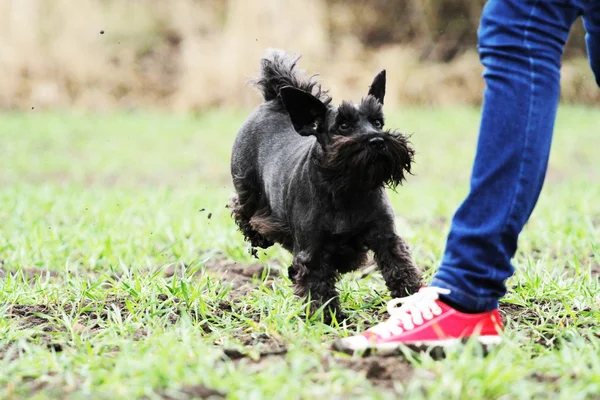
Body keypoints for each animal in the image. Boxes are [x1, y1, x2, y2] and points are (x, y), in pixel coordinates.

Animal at [230, 50, 422, 322]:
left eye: (377, 122)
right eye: (343, 125)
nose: (377, 141)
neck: (346, 189)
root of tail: (274, 99)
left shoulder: (385, 237)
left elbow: (400, 267)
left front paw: (412, 298)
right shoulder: (312, 251)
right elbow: (317, 285)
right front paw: (327, 319)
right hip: (247, 185)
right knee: (242, 209)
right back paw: (257, 235)